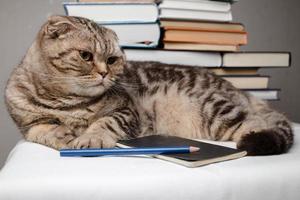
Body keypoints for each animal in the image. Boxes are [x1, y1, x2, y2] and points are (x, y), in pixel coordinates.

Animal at [5, 16, 292, 156]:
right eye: (86, 56)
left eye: (112, 59)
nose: (104, 73)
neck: (67, 103)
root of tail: (240, 91)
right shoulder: (26, 123)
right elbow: (41, 130)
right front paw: (61, 134)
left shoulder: (126, 110)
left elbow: (105, 122)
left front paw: (89, 137)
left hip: (217, 111)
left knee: (258, 123)